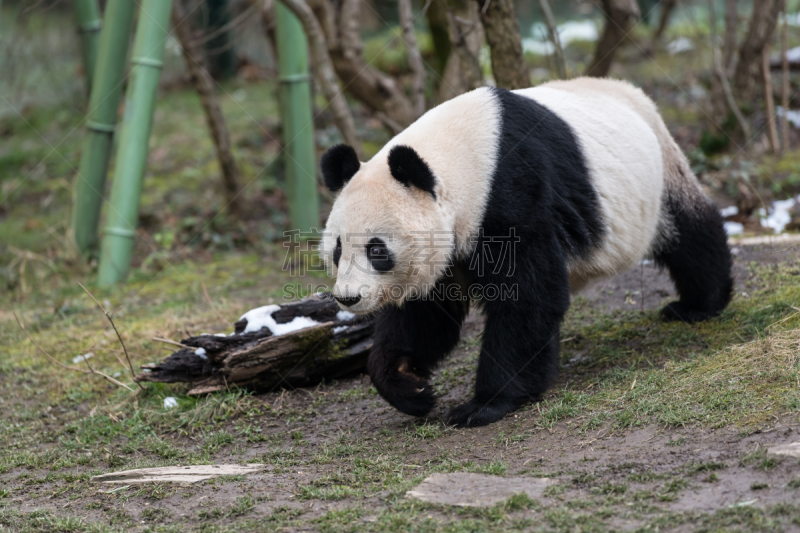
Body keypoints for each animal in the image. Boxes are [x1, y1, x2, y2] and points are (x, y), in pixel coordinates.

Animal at [318, 78, 732, 428]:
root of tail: (633, 92)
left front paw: (484, 405)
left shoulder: (512, 189)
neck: (461, 157)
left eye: (376, 249)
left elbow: (527, 295)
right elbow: (426, 315)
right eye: (337, 249)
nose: (349, 297)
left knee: (690, 231)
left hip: (659, 171)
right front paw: (410, 385)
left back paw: (698, 304)